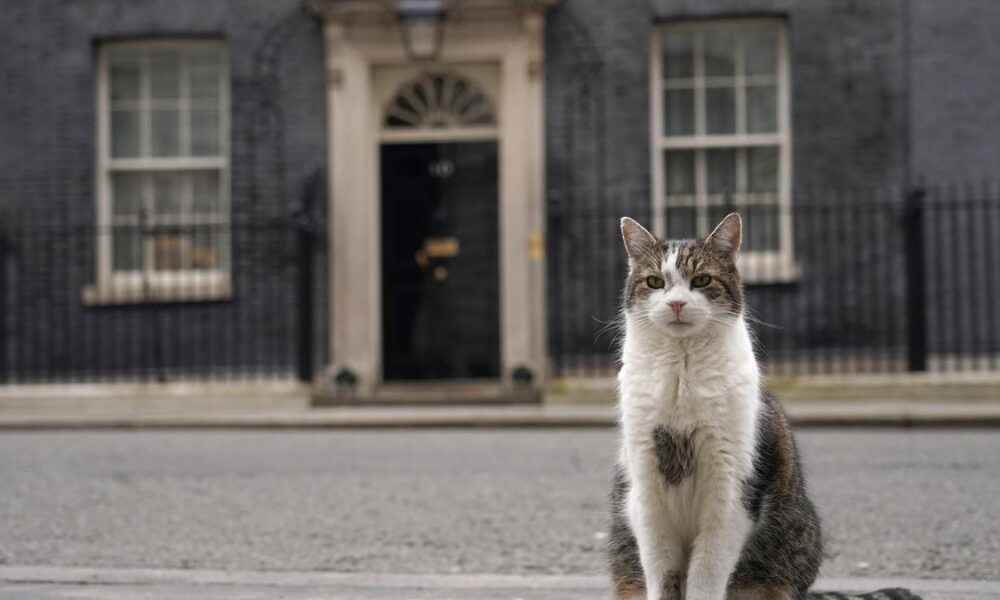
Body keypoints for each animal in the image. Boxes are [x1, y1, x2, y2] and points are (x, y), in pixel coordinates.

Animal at [604, 213, 916, 600]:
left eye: (701, 280)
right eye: (655, 282)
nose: (676, 303)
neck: (682, 372)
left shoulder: (730, 491)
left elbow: (706, 575)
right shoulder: (647, 490)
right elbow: (662, 575)